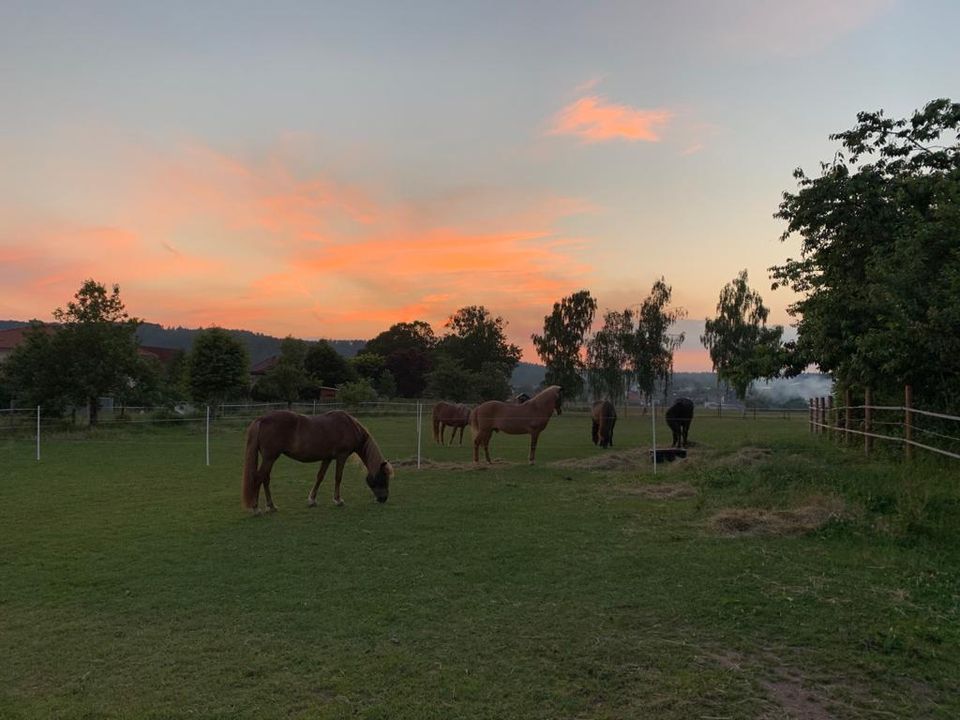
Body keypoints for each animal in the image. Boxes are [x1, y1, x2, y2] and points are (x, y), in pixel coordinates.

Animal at [240, 410, 394, 512]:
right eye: (383, 477)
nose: (384, 498)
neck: (349, 426)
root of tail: (262, 419)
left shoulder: (327, 458)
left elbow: (320, 477)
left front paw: (312, 500)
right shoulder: (341, 456)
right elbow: (338, 477)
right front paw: (338, 500)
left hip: (269, 459)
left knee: (265, 479)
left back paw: (271, 506)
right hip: (270, 458)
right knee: (259, 478)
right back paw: (256, 508)